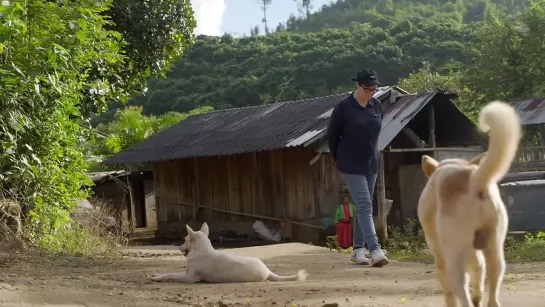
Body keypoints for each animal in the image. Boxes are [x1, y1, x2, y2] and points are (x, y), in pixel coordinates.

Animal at [151, 223, 308, 286]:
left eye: (184, 240)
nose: (178, 247)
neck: (202, 250)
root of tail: (268, 271)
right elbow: (168, 272)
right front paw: (155, 274)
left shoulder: (189, 278)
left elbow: (170, 274)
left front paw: (157, 278)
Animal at [418, 101, 520, 307]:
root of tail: (473, 180)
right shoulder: (476, 254)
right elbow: (478, 276)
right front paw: (477, 297)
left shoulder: (441, 258)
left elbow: (449, 293)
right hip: (495, 249)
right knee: (492, 292)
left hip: (453, 258)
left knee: (461, 294)